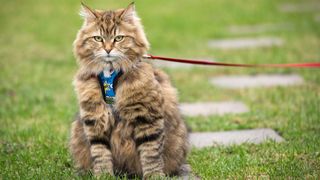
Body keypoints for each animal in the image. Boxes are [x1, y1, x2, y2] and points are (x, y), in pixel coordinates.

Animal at [69, 2, 190, 179]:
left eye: (118, 38)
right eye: (98, 38)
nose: (108, 49)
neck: (110, 73)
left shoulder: (147, 116)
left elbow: (150, 153)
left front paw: (154, 176)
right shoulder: (95, 118)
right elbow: (100, 152)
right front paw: (104, 175)